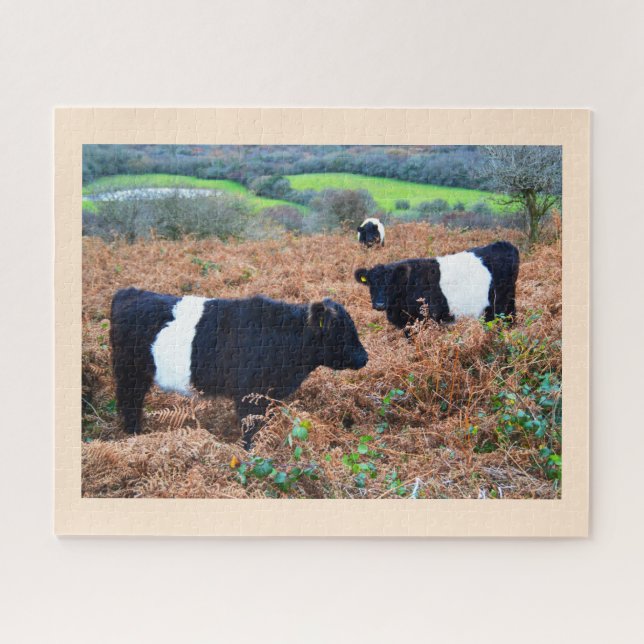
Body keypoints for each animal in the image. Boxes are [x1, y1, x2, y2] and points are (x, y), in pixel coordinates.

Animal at [110, 288, 368, 449]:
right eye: (340, 331)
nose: (364, 357)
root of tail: (129, 292)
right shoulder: (249, 395)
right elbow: (251, 428)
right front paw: (249, 452)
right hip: (129, 374)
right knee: (129, 403)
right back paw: (134, 435)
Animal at [354, 241, 519, 330]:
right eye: (370, 283)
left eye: (391, 283)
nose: (379, 304)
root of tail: (504, 244)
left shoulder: (422, 320)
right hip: (509, 301)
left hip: (498, 306)